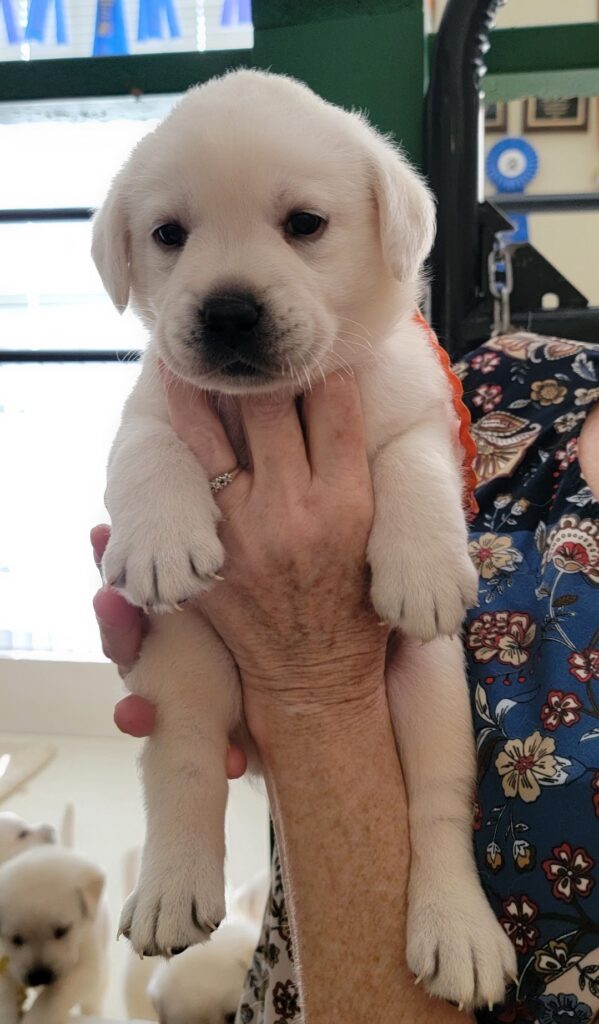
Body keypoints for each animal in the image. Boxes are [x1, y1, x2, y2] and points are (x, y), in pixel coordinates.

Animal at [91, 70, 516, 1007]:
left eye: (305, 224)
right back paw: (173, 885)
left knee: (437, 808)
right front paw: (158, 536)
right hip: (183, 660)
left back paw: (457, 928)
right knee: (181, 768)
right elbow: (144, 446)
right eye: (169, 235)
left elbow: (413, 466)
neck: (271, 403)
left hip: (432, 690)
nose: (227, 310)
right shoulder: (156, 397)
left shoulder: (417, 410)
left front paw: (423, 565)